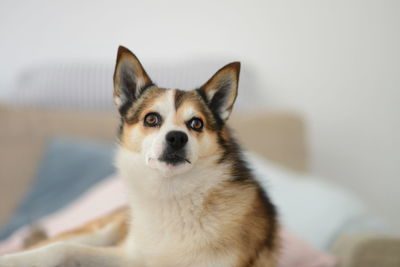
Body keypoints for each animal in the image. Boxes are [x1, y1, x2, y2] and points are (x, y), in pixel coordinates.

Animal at [0, 46, 278, 267]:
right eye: (151, 119)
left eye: (196, 123)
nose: (177, 138)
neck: (171, 195)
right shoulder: (129, 256)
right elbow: (62, 250)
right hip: (99, 230)